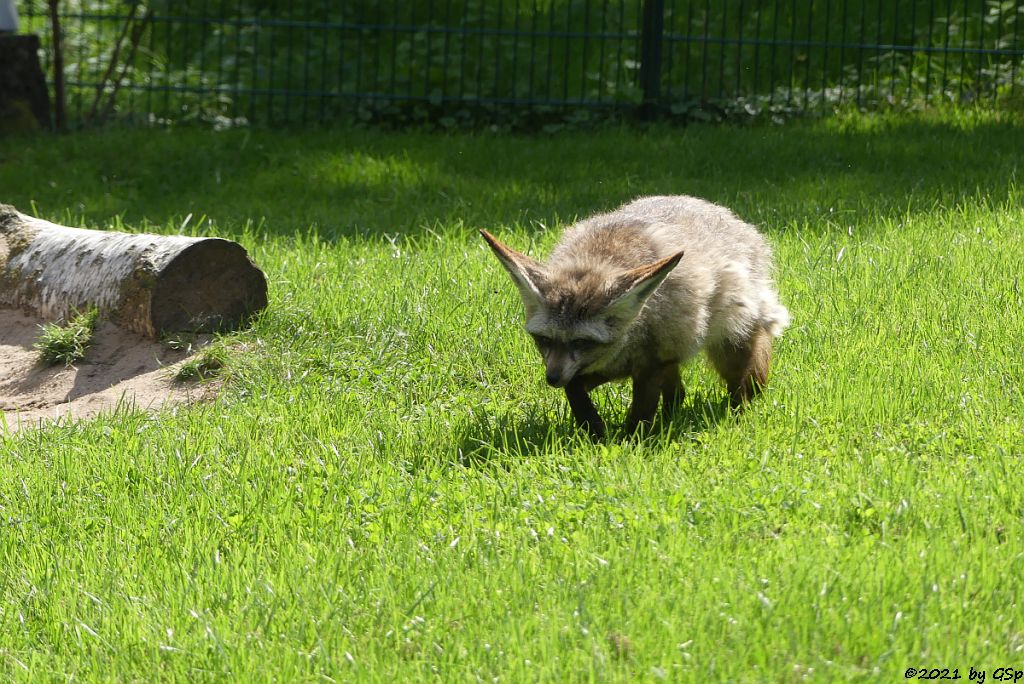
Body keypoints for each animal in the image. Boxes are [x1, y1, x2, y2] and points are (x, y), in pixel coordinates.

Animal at [481, 193, 790, 438]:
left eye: (581, 342)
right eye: (544, 340)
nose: (552, 378)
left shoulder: (650, 363)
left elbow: (639, 417)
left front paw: (628, 446)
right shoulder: (602, 367)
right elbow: (575, 390)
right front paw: (593, 427)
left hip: (729, 350)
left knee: (741, 389)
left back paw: (736, 412)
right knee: (678, 396)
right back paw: (670, 419)